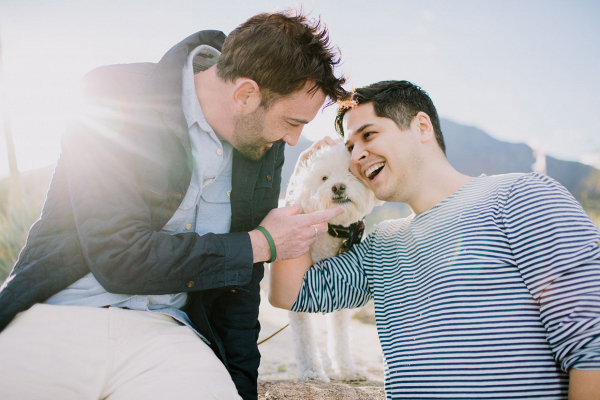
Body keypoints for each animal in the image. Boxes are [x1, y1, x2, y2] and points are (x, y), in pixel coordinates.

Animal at [286, 141, 380, 382]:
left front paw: (347, 369)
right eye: (324, 178)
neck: (333, 231)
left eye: (350, 172)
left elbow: (340, 335)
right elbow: (305, 338)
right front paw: (311, 372)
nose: (338, 187)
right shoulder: (297, 294)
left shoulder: (340, 288)